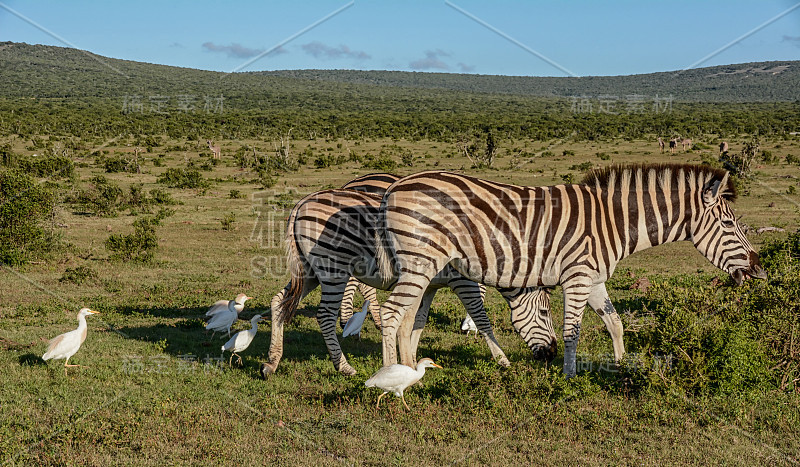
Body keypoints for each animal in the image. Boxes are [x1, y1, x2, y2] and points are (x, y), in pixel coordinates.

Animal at [376, 165, 768, 376]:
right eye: (730, 225)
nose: (759, 271)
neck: (613, 222)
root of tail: (396, 185)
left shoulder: (594, 279)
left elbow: (615, 323)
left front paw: (620, 367)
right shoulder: (577, 276)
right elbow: (572, 332)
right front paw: (569, 375)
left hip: (424, 268)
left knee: (409, 316)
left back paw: (410, 370)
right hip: (419, 261)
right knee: (392, 313)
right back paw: (392, 374)